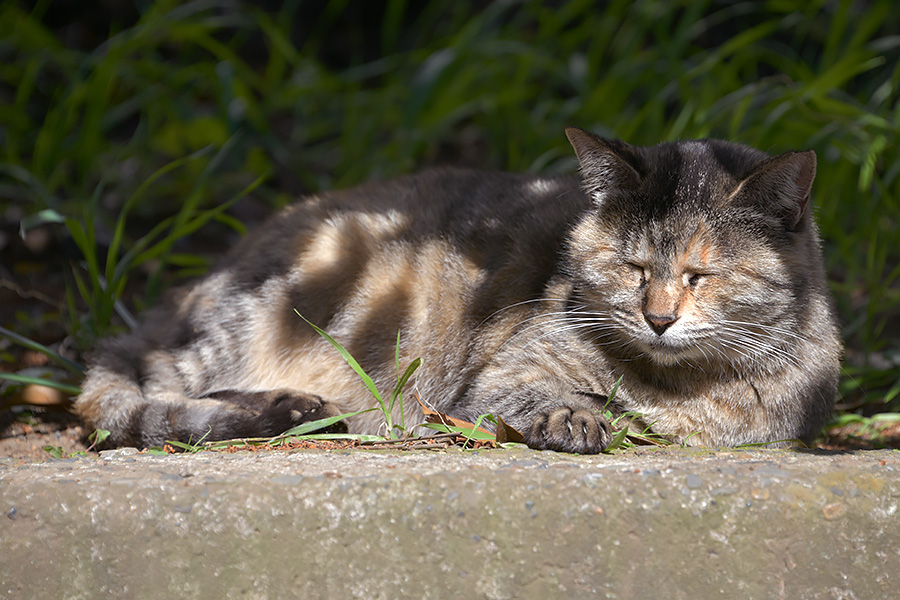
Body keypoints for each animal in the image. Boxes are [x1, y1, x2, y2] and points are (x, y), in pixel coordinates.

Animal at [77, 129, 844, 452]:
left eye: (699, 275)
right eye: (631, 268)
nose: (656, 319)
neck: (686, 385)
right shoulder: (499, 375)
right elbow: (559, 394)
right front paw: (578, 418)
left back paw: (298, 410)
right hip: (272, 303)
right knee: (126, 399)